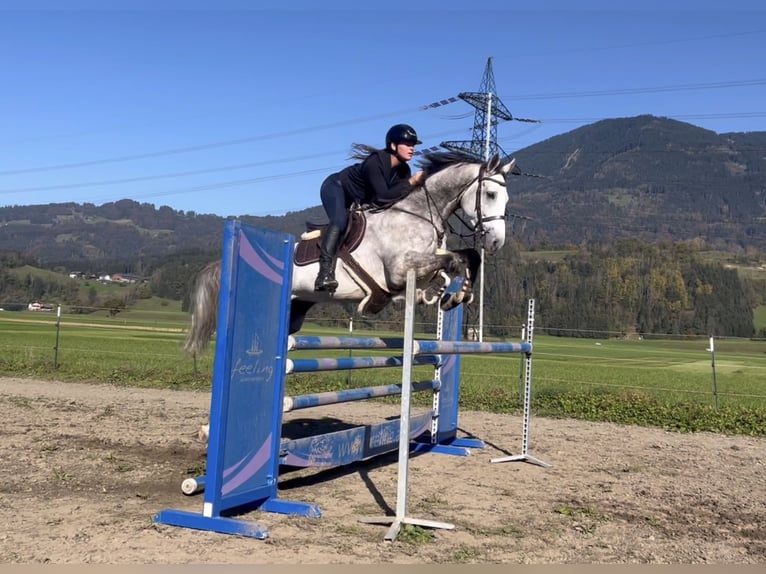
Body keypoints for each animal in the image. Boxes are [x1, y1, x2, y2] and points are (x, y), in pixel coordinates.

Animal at [184, 151, 516, 358]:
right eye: (490, 194)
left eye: (505, 198)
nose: (496, 241)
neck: (420, 212)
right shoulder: (400, 270)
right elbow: (452, 260)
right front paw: (451, 294)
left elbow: (467, 257)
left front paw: (453, 294)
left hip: (296, 309)